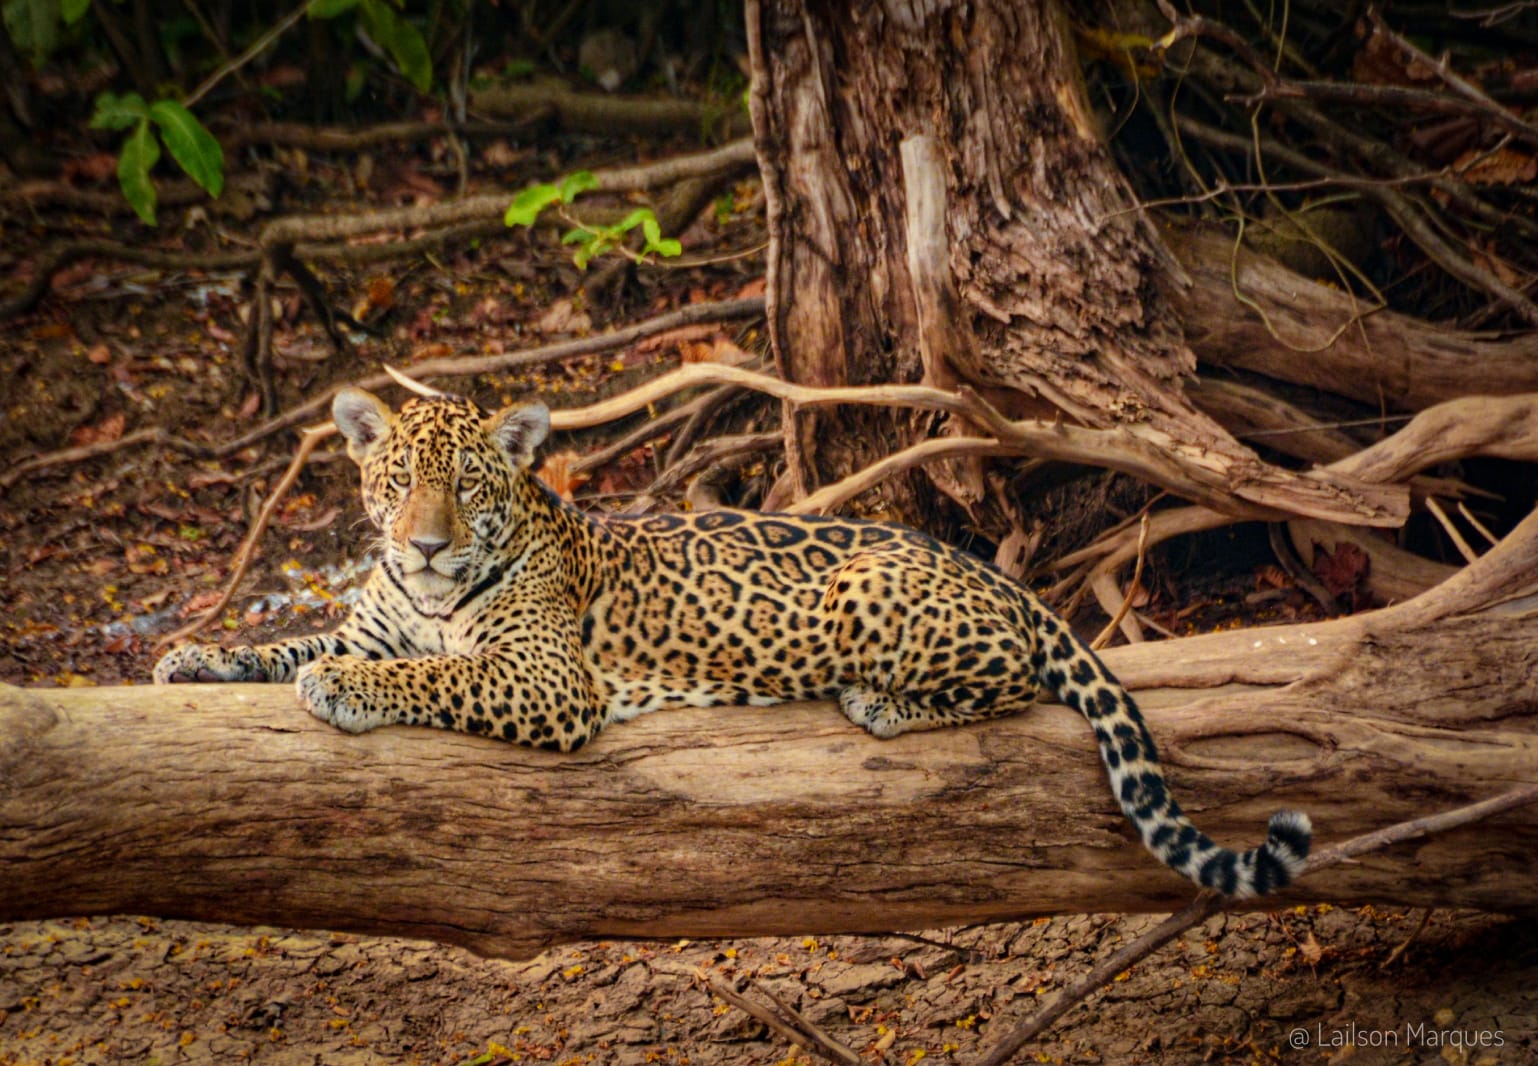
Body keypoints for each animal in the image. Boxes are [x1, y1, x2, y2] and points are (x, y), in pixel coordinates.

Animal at [156, 385, 1312, 898]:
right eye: (397, 483)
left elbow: (434, 672)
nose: (428, 546)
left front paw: (350, 687)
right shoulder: (383, 617)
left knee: (1015, 680)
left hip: (869, 594)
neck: (428, 594)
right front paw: (192, 656)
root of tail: (995, 572)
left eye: (470, 486)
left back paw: (886, 704)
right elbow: (291, 645)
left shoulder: (545, 678)